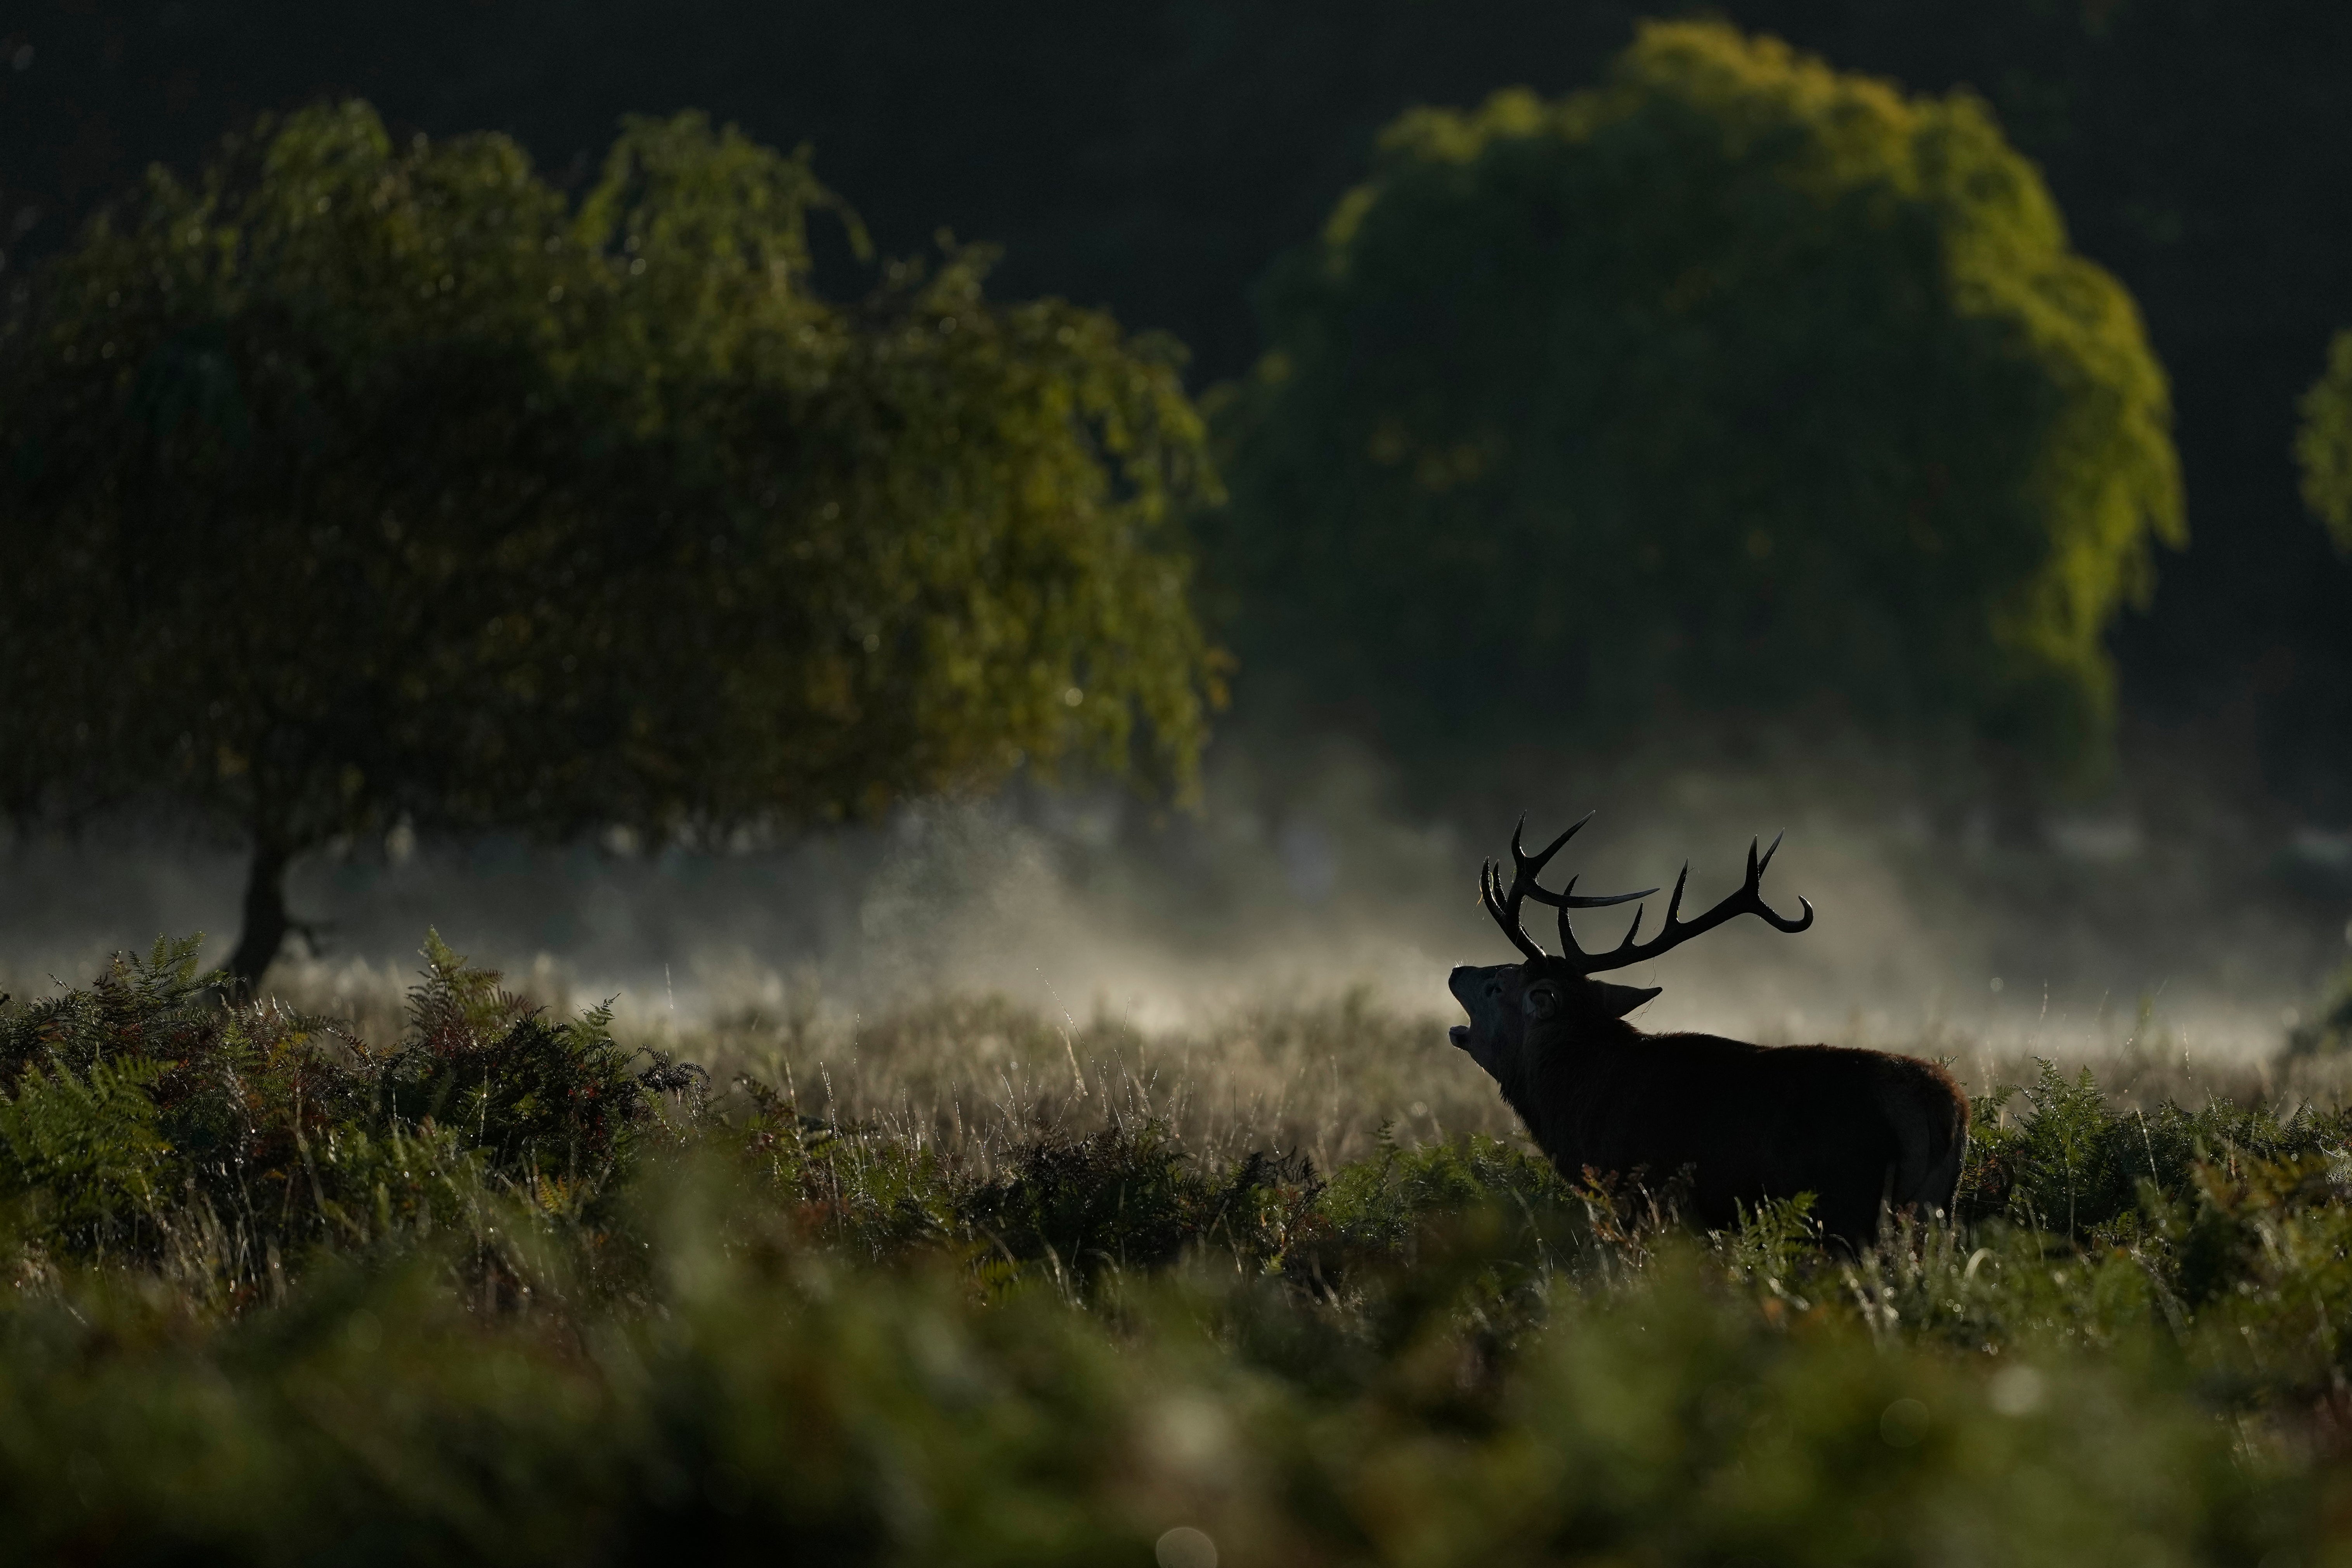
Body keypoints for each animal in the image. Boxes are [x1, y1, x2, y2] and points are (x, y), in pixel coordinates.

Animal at [1446, 814, 1967, 1248]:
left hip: (1852, 1205)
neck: (1577, 1106)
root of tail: (1945, 1109)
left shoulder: (1648, 1197)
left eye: (1498, 985)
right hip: (1934, 1207)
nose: (1455, 970)